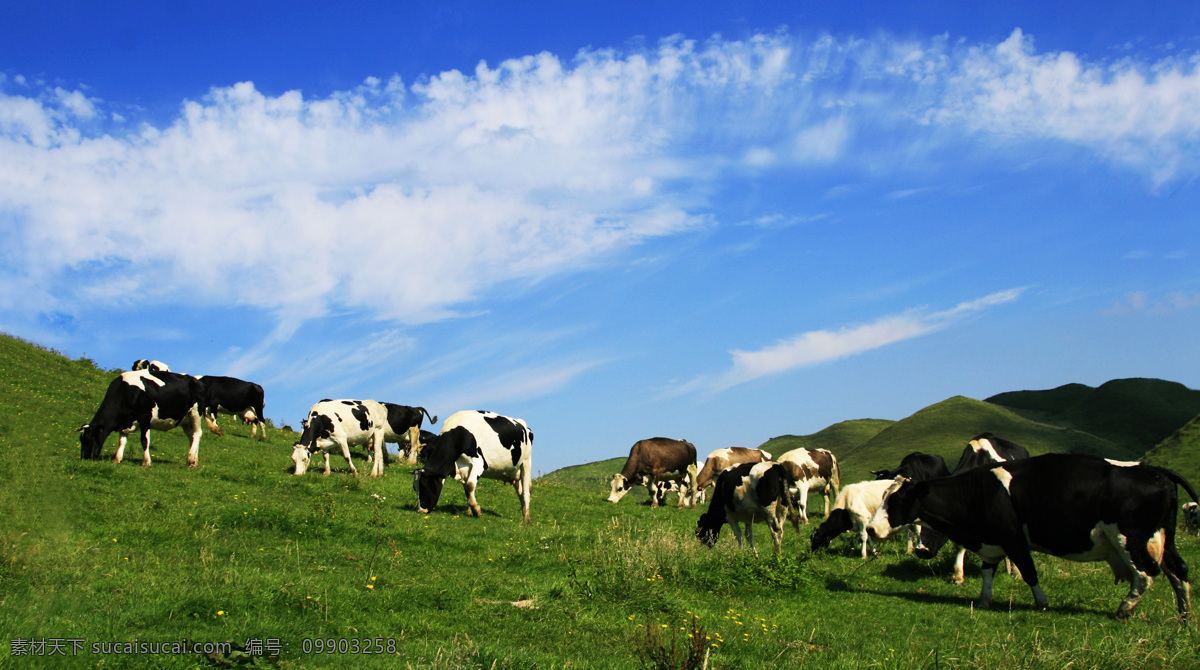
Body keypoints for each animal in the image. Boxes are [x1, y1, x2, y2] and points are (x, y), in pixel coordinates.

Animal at [868, 453, 1195, 624]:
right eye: (883, 496)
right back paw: (1185, 615)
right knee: (1179, 571)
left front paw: (1041, 602)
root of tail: (1157, 471)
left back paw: (1124, 609)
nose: (871, 529)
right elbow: (987, 573)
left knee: (1146, 574)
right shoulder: (992, 542)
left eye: (897, 501)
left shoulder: (1013, 538)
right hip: (1164, 539)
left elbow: (1028, 571)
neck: (979, 491)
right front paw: (984, 600)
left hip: (1130, 538)